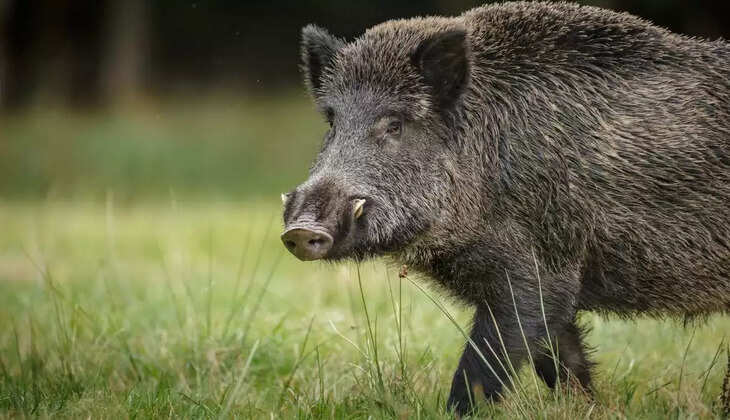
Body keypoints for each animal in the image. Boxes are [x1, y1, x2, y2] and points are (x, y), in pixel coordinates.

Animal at [281, 1, 730, 414]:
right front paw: (586, 408)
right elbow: (562, 362)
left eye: (395, 124)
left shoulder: (538, 271)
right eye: (332, 123)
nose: (302, 229)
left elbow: (483, 368)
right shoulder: (552, 284)